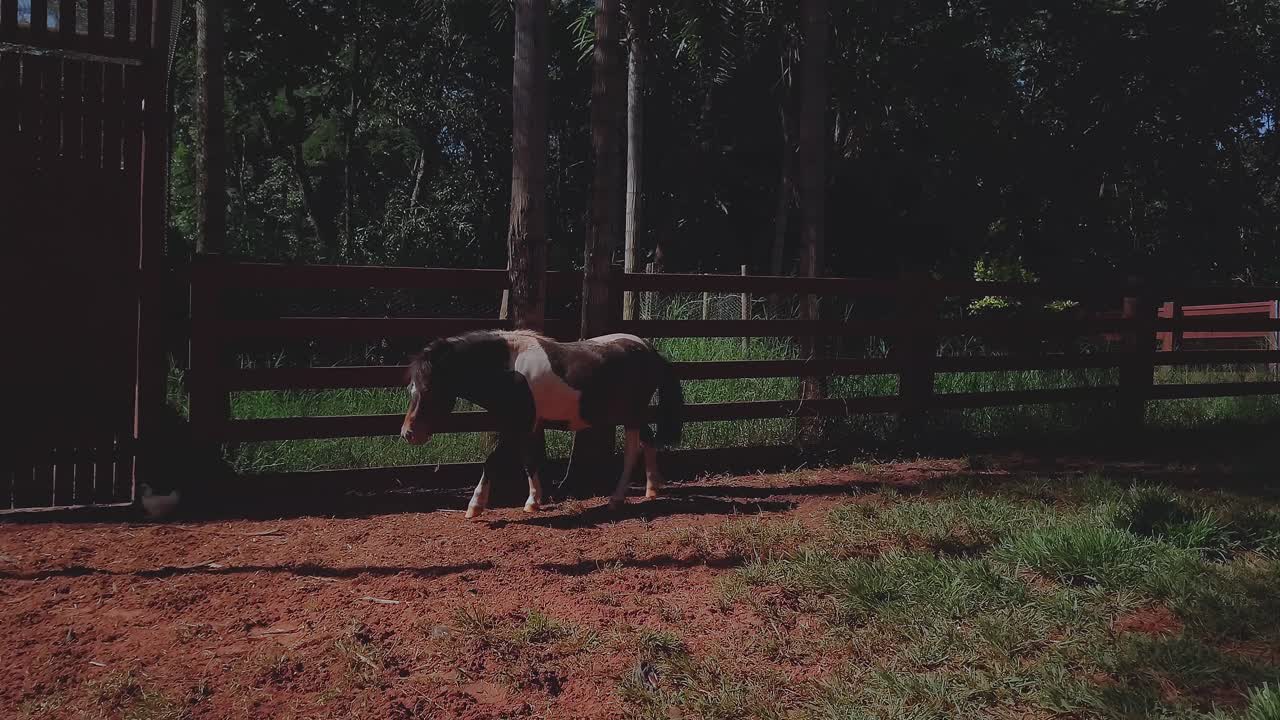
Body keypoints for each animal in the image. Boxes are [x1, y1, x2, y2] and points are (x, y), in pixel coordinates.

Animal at [400, 330, 684, 518]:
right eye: (411, 388)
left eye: (428, 389)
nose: (407, 433)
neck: (509, 370)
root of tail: (649, 348)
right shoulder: (530, 426)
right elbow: (530, 461)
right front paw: (533, 501)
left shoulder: (517, 424)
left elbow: (491, 461)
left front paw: (475, 505)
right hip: (631, 414)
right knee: (648, 441)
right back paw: (652, 488)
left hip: (630, 415)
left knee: (632, 452)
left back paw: (617, 498)